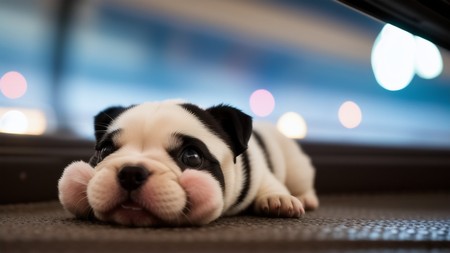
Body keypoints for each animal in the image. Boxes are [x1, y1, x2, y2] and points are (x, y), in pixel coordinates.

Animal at [58, 100, 318, 227]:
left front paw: (278, 199)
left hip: (297, 168)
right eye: (104, 150)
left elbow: (269, 183)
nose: (131, 172)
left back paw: (306, 198)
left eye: (191, 157)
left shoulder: (261, 171)